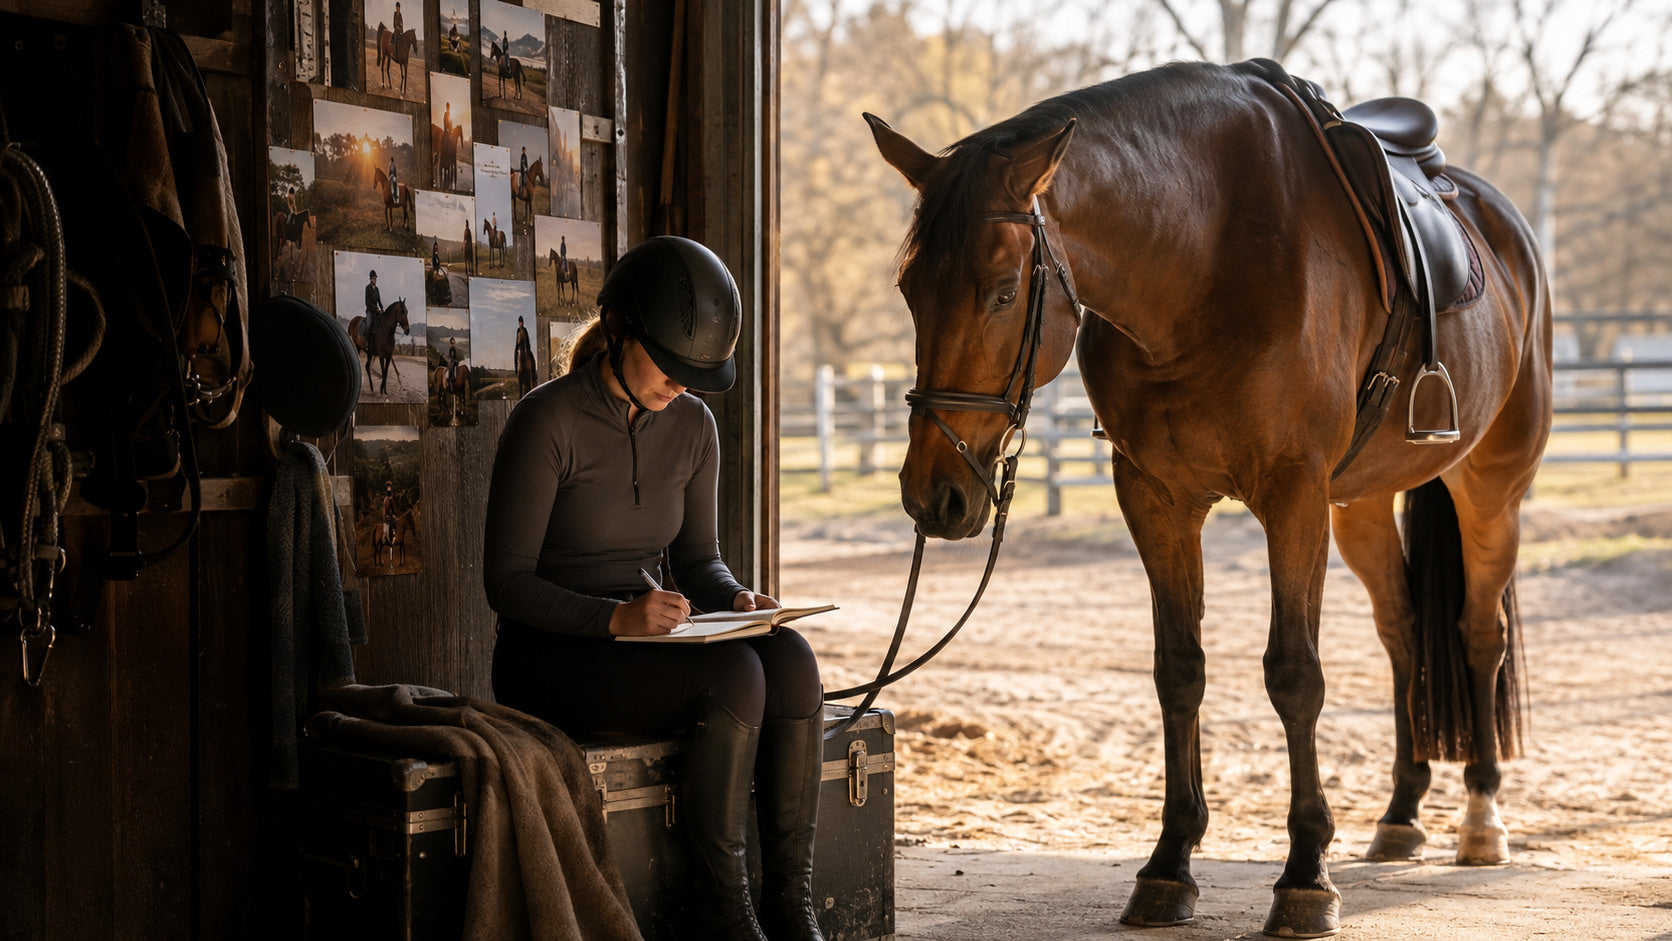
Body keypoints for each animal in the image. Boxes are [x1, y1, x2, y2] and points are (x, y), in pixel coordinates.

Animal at [866, 59, 1552, 939]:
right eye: (909, 288)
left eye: (1003, 290)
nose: (934, 494)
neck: (1205, 252)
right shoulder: (1158, 498)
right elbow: (1179, 670)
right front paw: (1169, 863)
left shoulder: (1293, 494)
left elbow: (1294, 674)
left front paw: (1305, 875)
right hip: (1359, 505)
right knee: (1403, 632)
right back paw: (1400, 813)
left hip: (1491, 489)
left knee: (1476, 633)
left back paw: (1481, 817)